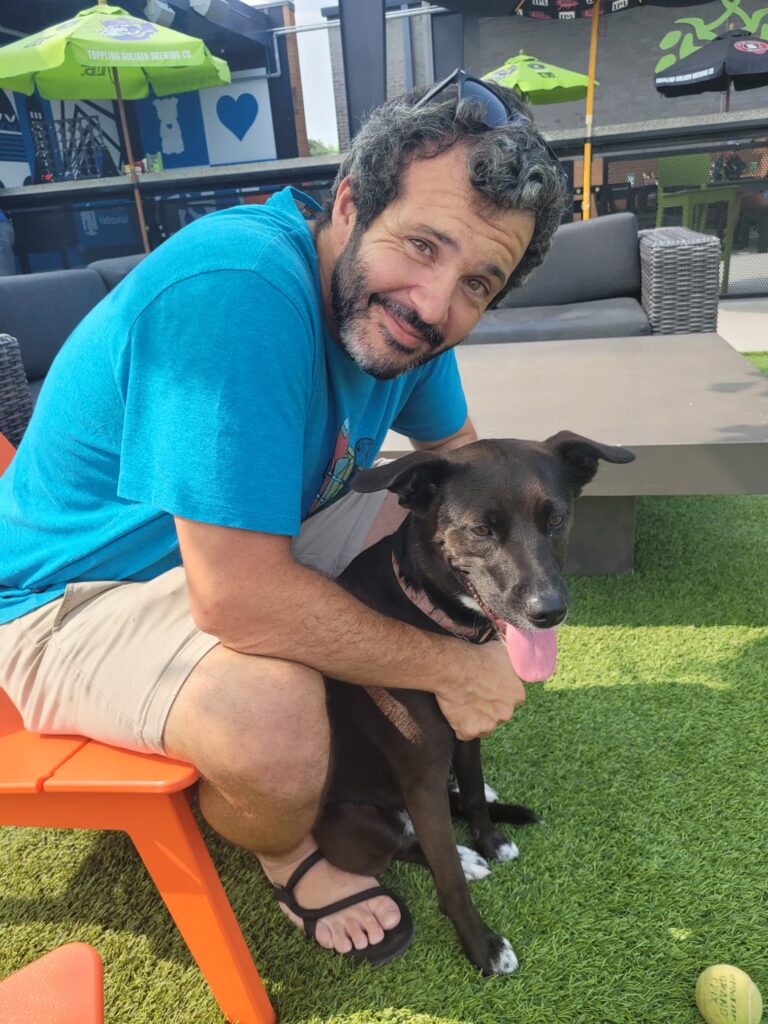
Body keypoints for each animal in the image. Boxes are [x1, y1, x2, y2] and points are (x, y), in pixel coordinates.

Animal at [274, 432, 634, 974]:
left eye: (555, 519)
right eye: (481, 530)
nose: (549, 612)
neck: (432, 613)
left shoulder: (468, 729)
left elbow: (473, 791)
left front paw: (490, 838)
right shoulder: (421, 774)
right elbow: (446, 877)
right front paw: (483, 946)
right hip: (351, 827)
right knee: (406, 846)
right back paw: (459, 857)